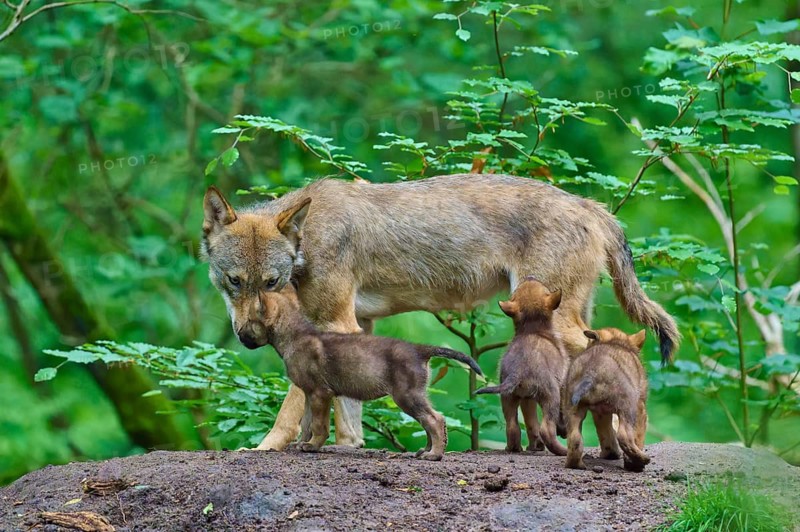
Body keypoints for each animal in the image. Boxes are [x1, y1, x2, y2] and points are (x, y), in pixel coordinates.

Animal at [256, 288, 482, 460]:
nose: (245, 339)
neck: (295, 336)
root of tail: (420, 349)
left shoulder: (321, 392)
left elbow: (319, 426)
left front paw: (312, 447)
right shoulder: (309, 393)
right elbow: (306, 424)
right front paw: (302, 444)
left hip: (405, 396)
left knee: (435, 419)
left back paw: (434, 455)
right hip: (417, 394)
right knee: (431, 420)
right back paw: (425, 451)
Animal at [476, 278, 568, 456]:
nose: (530, 276)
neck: (532, 330)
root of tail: (517, 371)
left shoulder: (527, 399)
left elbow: (531, 425)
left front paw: (535, 446)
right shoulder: (562, 384)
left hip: (508, 398)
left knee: (513, 427)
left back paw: (515, 448)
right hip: (550, 396)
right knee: (546, 428)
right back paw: (563, 451)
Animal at [563, 327, 650, 472]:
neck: (617, 342)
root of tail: (591, 372)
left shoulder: (600, 413)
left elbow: (606, 434)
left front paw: (611, 454)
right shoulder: (640, 409)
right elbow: (638, 436)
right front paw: (633, 464)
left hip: (573, 409)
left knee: (574, 439)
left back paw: (576, 465)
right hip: (628, 406)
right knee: (624, 436)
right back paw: (642, 460)